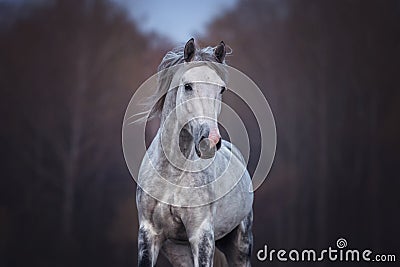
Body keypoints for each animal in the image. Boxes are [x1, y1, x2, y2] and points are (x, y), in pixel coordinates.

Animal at [136, 38, 252, 267]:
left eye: (221, 90)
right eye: (188, 86)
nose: (210, 141)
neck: (173, 174)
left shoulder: (201, 235)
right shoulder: (148, 234)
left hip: (240, 247)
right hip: (178, 250)